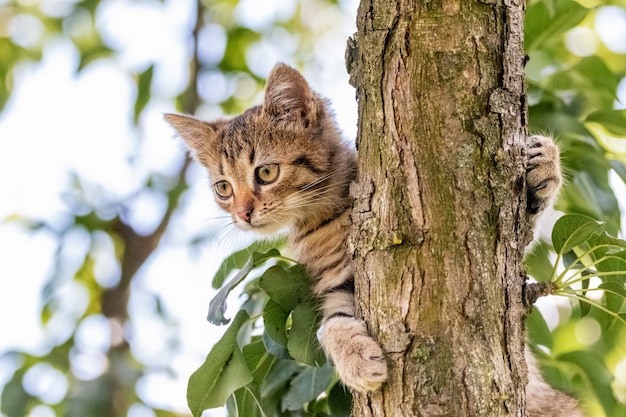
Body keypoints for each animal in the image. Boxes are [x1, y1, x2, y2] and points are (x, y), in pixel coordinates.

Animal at [165, 63, 580, 414]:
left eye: (266, 172)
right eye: (223, 188)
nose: (242, 214)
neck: (329, 209)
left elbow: (521, 232)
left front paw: (544, 165)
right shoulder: (337, 279)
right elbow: (330, 321)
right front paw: (356, 360)